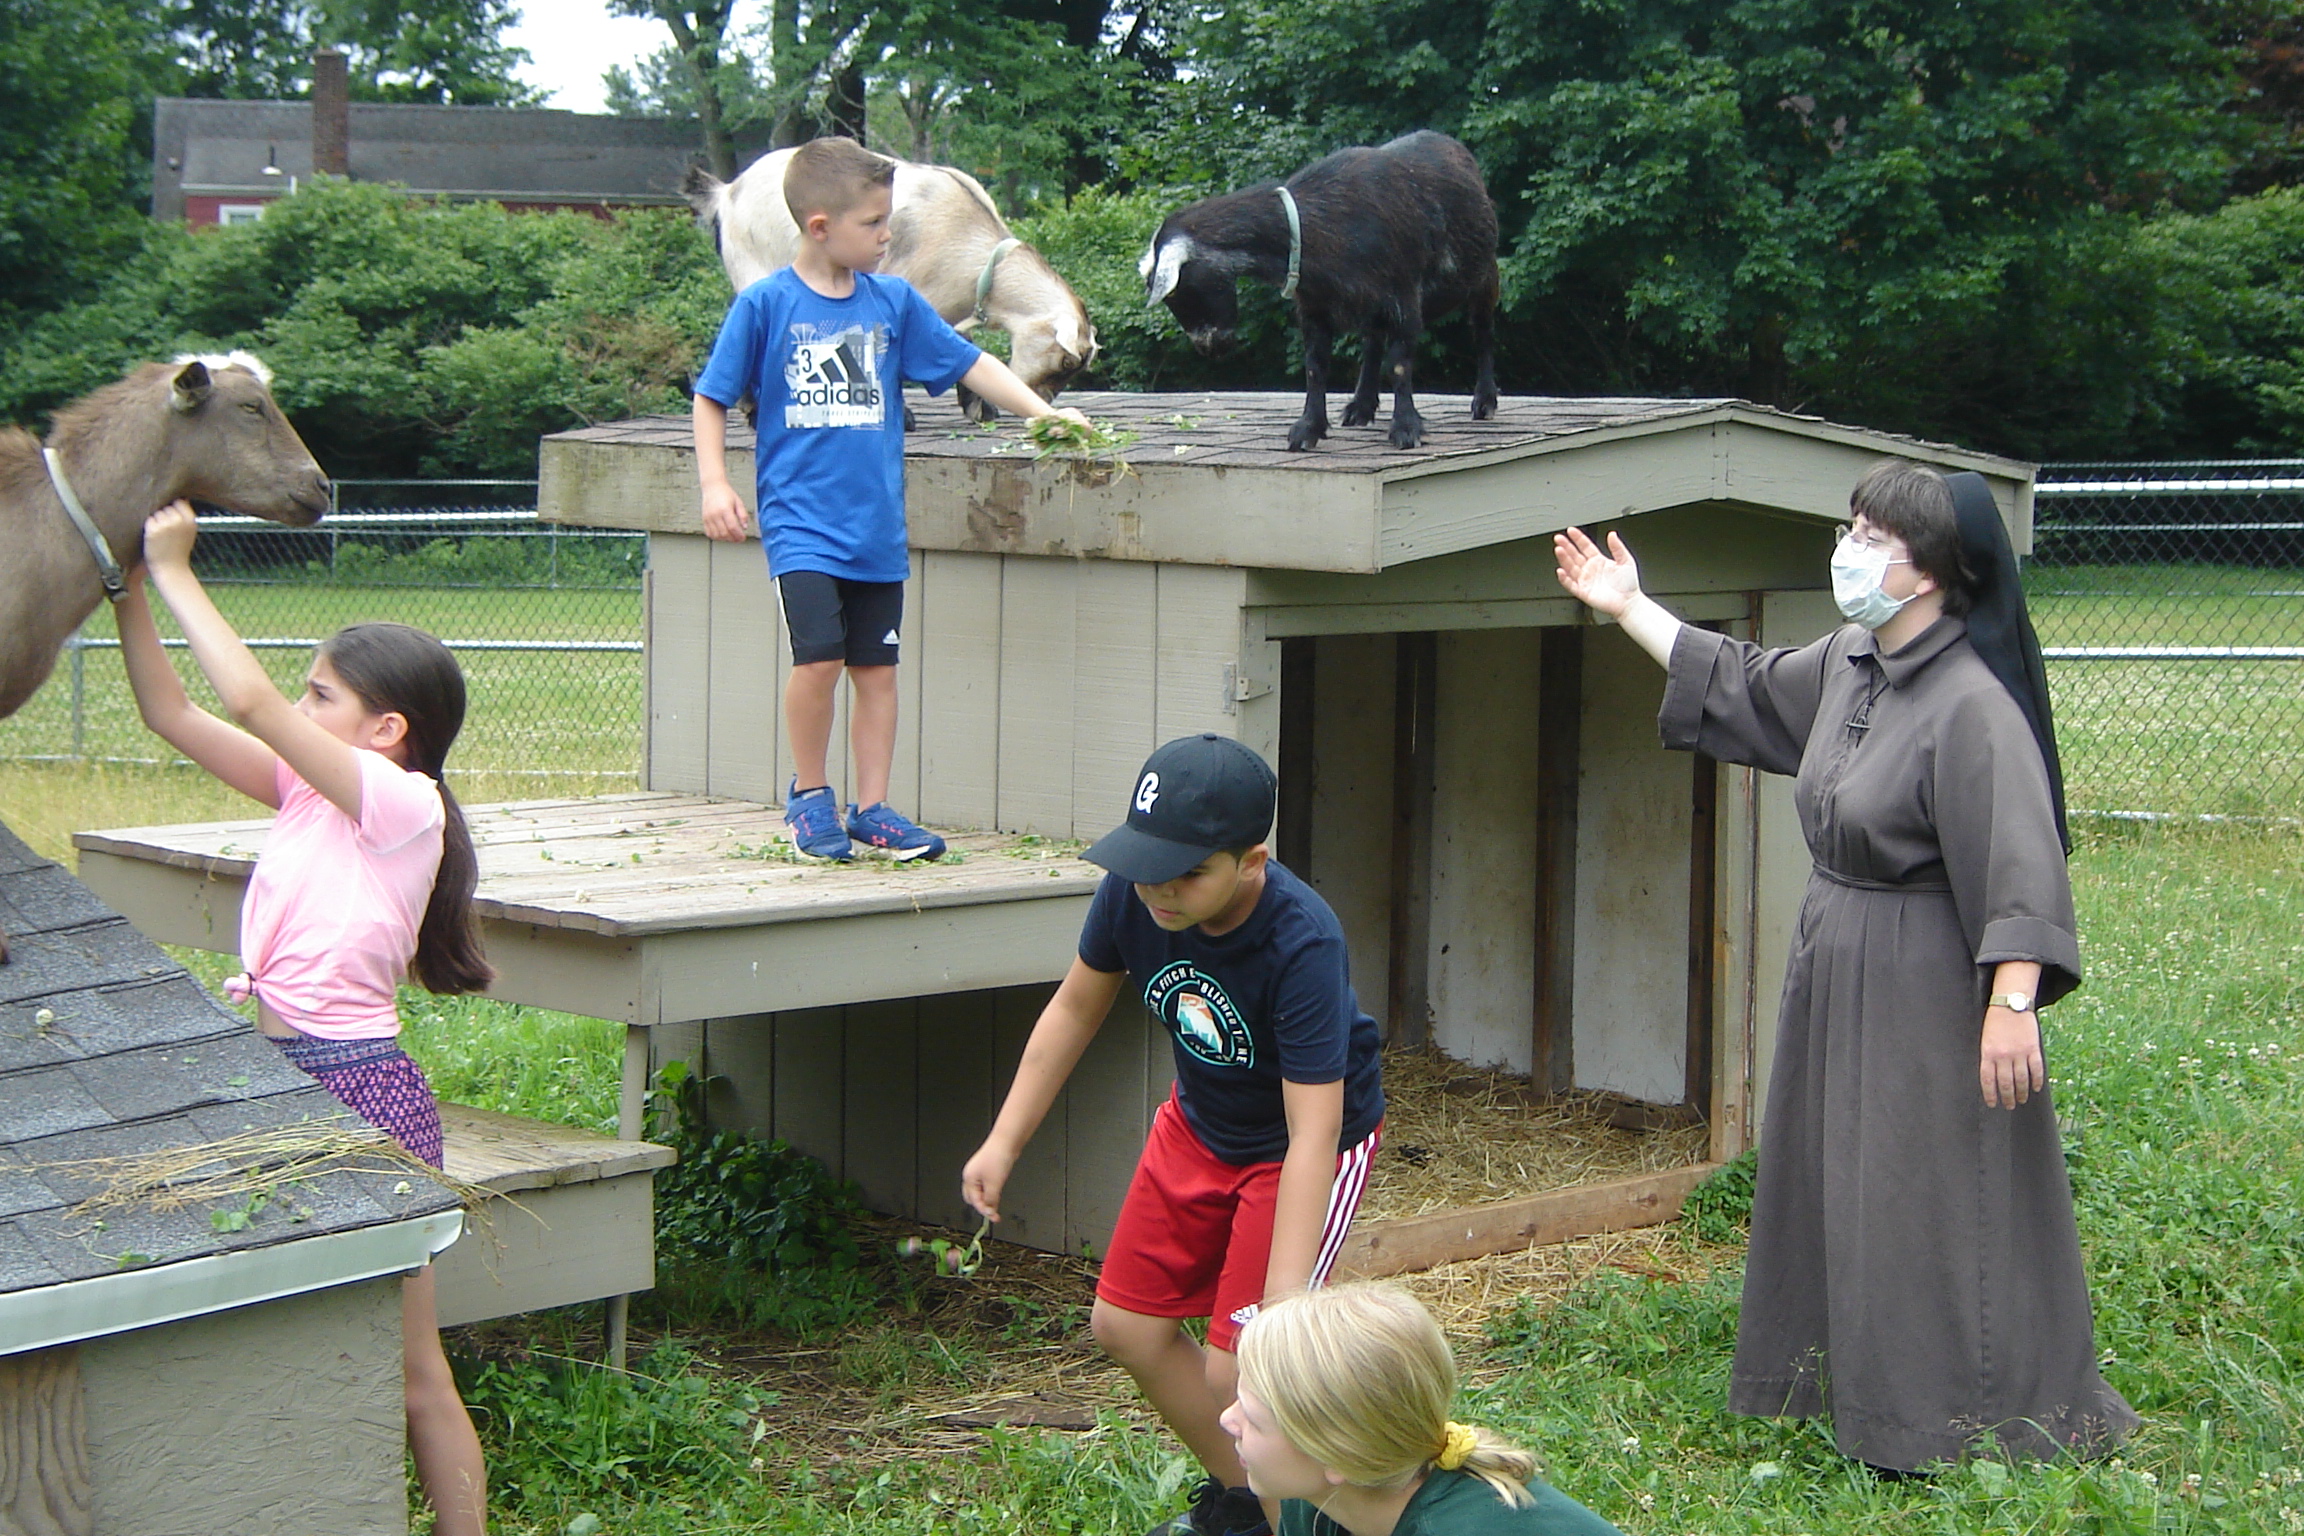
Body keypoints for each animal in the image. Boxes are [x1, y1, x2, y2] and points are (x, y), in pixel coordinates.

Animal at [686, 148, 1097, 422]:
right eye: (1065, 360)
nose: (1042, 400)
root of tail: (725, 194)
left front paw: (979, 407)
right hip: (754, 267)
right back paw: (755, 411)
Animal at [1142, 130, 1499, 452]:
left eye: (1177, 291)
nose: (1209, 349)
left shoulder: (1405, 297)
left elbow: (1399, 362)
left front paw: (1406, 429)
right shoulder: (1314, 306)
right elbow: (1315, 366)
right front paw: (1307, 430)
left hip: (1484, 275)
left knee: (1482, 332)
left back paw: (1484, 401)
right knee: (1372, 343)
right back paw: (1360, 406)